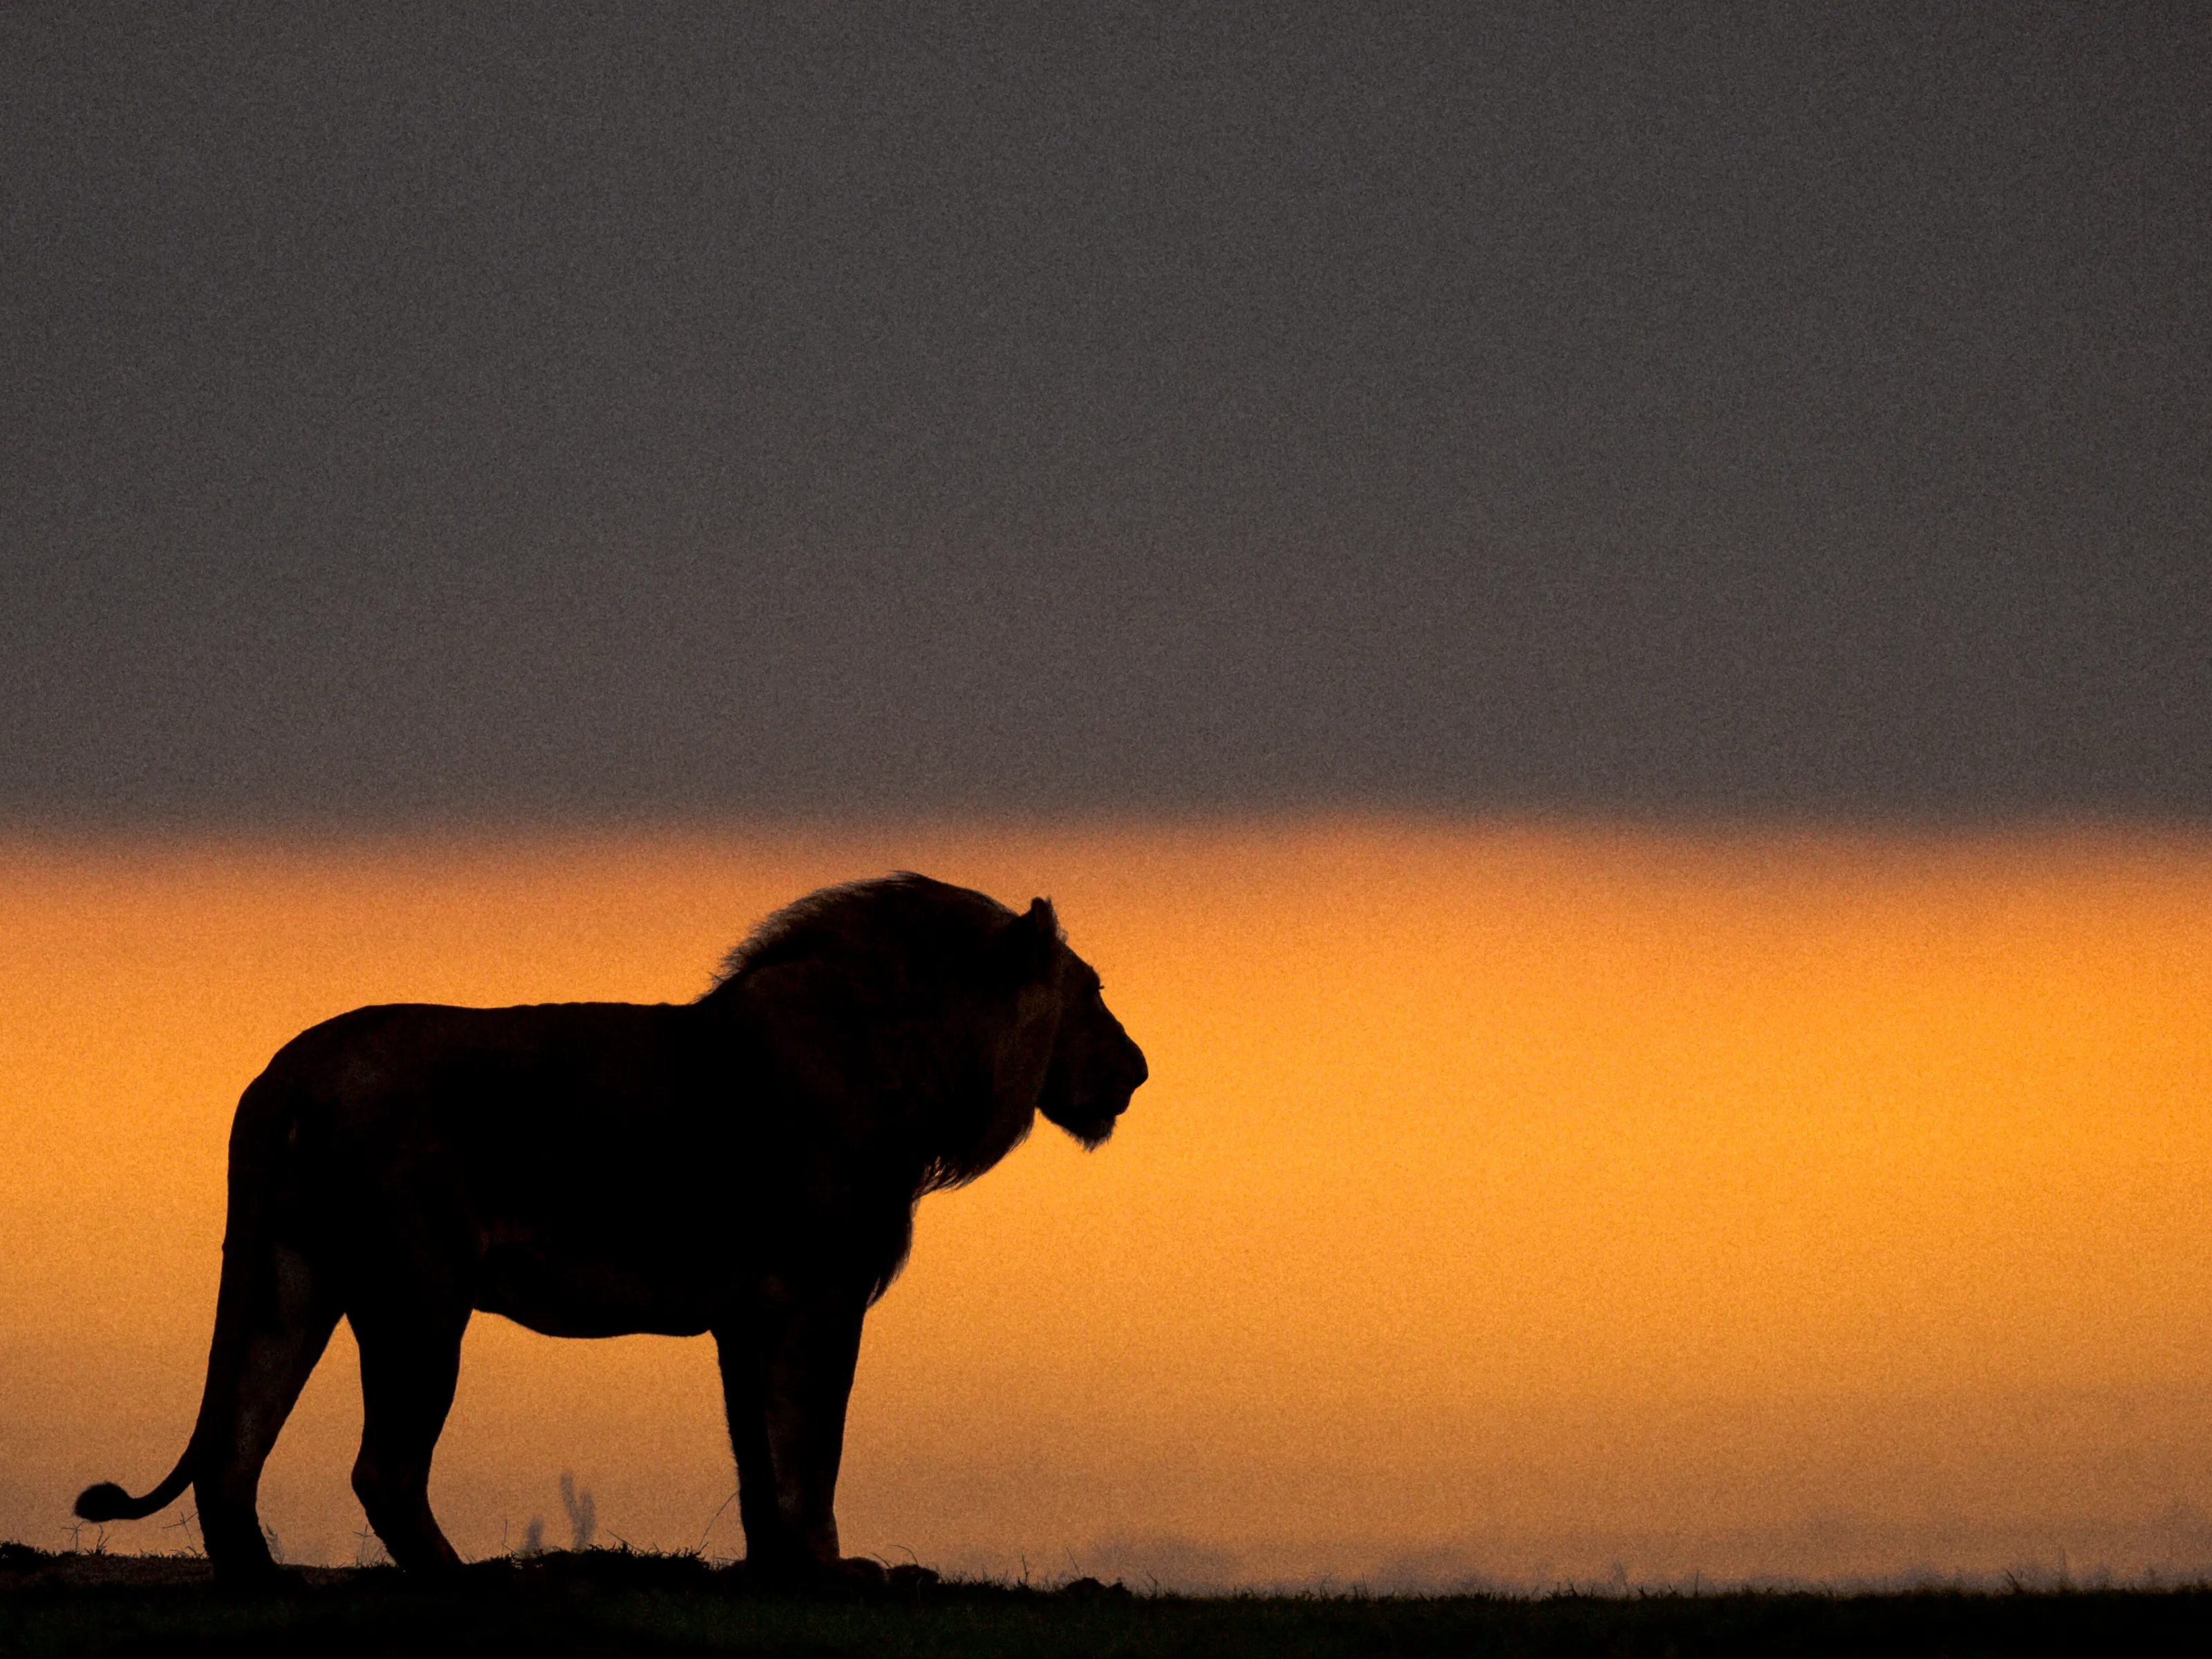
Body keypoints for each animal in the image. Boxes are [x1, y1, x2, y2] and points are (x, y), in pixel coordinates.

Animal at [76, 874, 1147, 1580]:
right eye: (1090, 994)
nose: (1138, 1072)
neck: (912, 1061)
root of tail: (288, 1067)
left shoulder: (747, 1314)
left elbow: (759, 1462)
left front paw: (777, 1581)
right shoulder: (819, 1294)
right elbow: (813, 1451)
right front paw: (832, 1576)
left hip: (291, 1276)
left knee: (232, 1453)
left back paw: (264, 1586)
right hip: (419, 1292)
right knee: (382, 1467)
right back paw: (469, 1590)